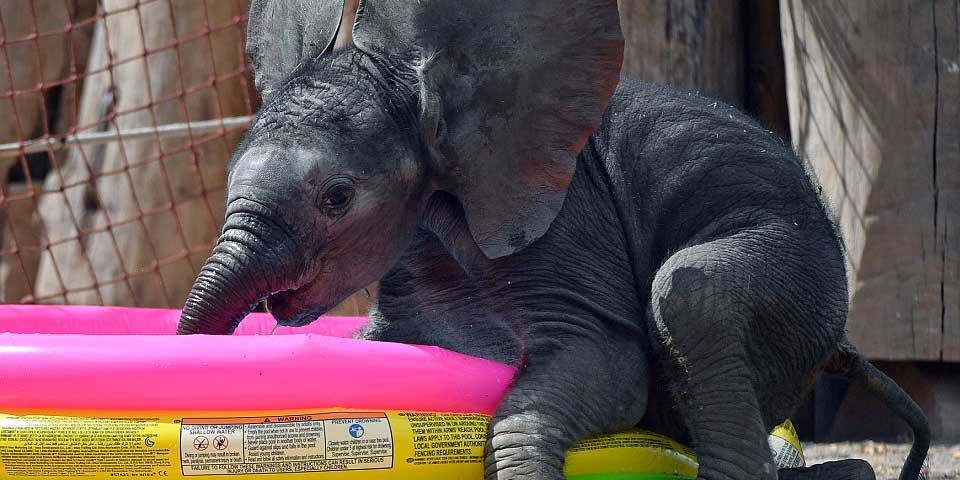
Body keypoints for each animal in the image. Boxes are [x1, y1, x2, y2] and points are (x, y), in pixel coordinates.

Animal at [176, 1, 930, 479]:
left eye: (336, 198)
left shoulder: (564, 224)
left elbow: (607, 362)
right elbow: (381, 342)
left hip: (803, 268)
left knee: (691, 297)